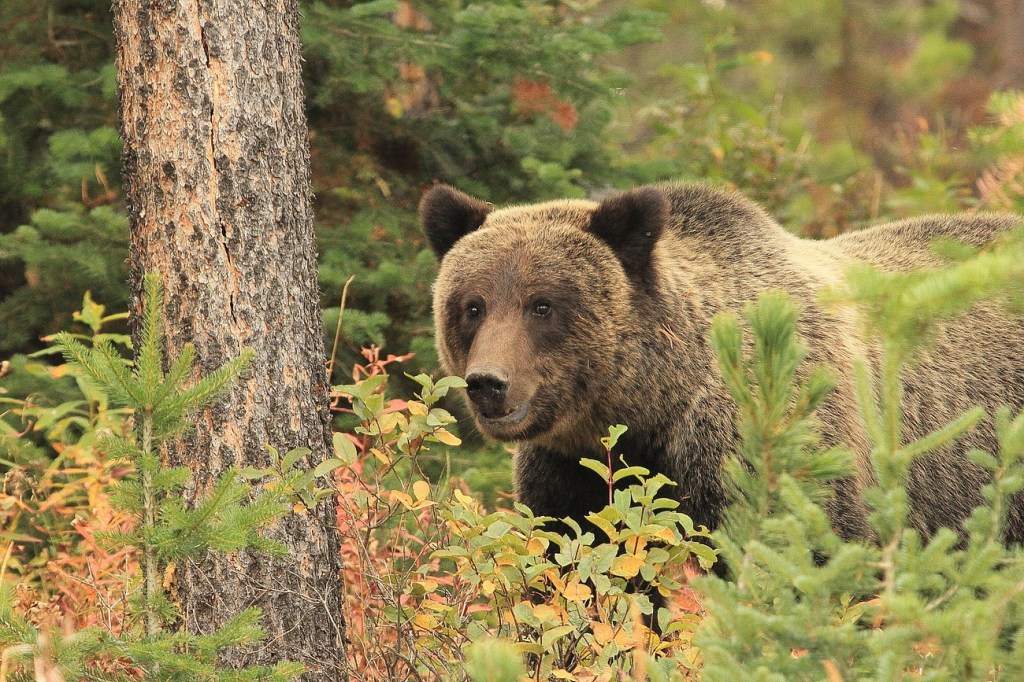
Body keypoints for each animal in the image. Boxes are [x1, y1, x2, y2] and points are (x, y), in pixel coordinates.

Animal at [419, 181, 1024, 555]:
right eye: (472, 306)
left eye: (542, 305)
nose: (488, 383)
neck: (650, 412)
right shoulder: (569, 474)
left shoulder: (762, 448)